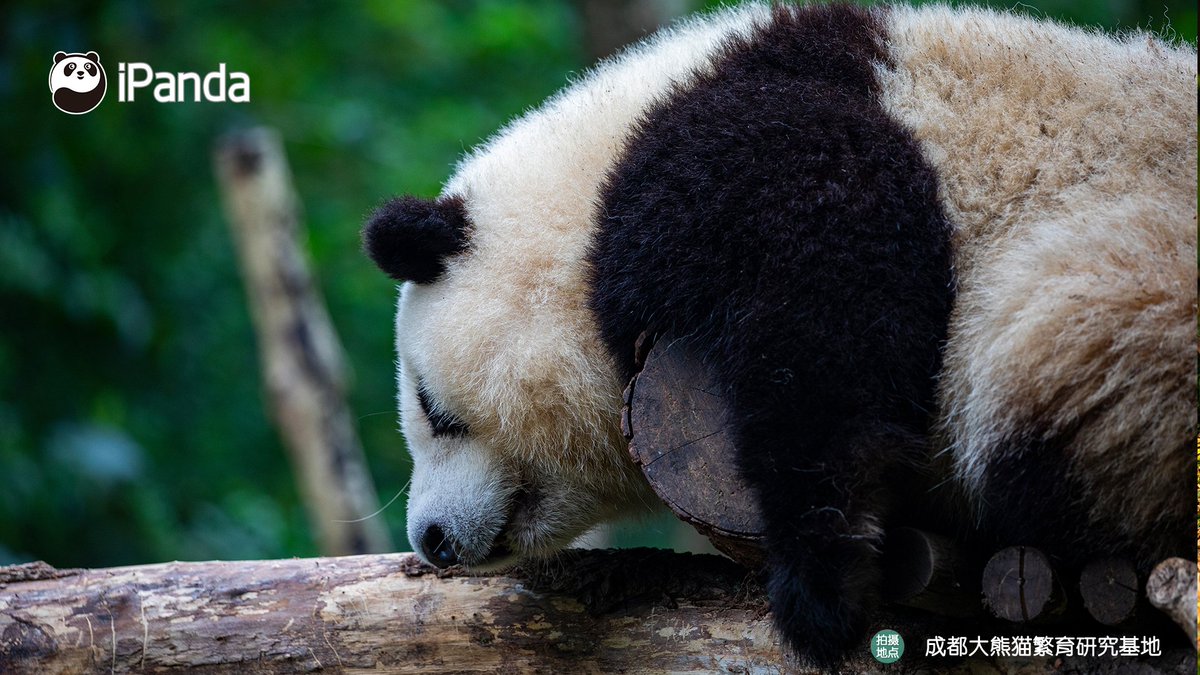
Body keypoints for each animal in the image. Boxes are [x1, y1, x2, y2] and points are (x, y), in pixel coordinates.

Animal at [363, 3, 1196, 665]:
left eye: (434, 409)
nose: (432, 540)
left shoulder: (740, 147)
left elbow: (832, 304)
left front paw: (820, 586)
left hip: (1118, 305)